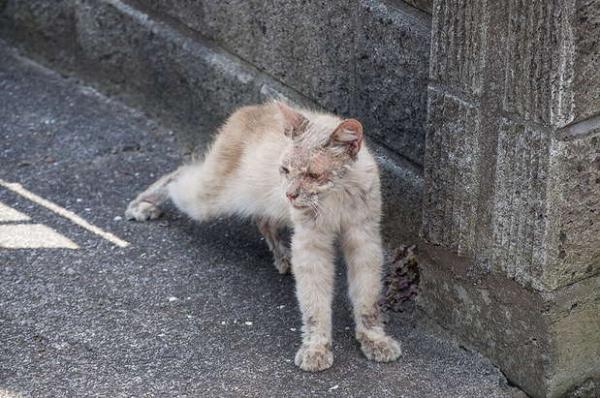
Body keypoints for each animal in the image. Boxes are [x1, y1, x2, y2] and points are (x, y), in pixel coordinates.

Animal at [124, 101, 400, 372]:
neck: (337, 197)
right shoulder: (310, 245)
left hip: (270, 204)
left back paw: (282, 258)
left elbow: (367, 297)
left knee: (262, 220)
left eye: (312, 175)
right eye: (286, 169)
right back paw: (143, 204)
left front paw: (374, 339)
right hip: (210, 200)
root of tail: (252, 108)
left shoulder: (364, 241)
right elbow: (314, 302)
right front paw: (316, 348)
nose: (291, 193)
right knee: (179, 174)